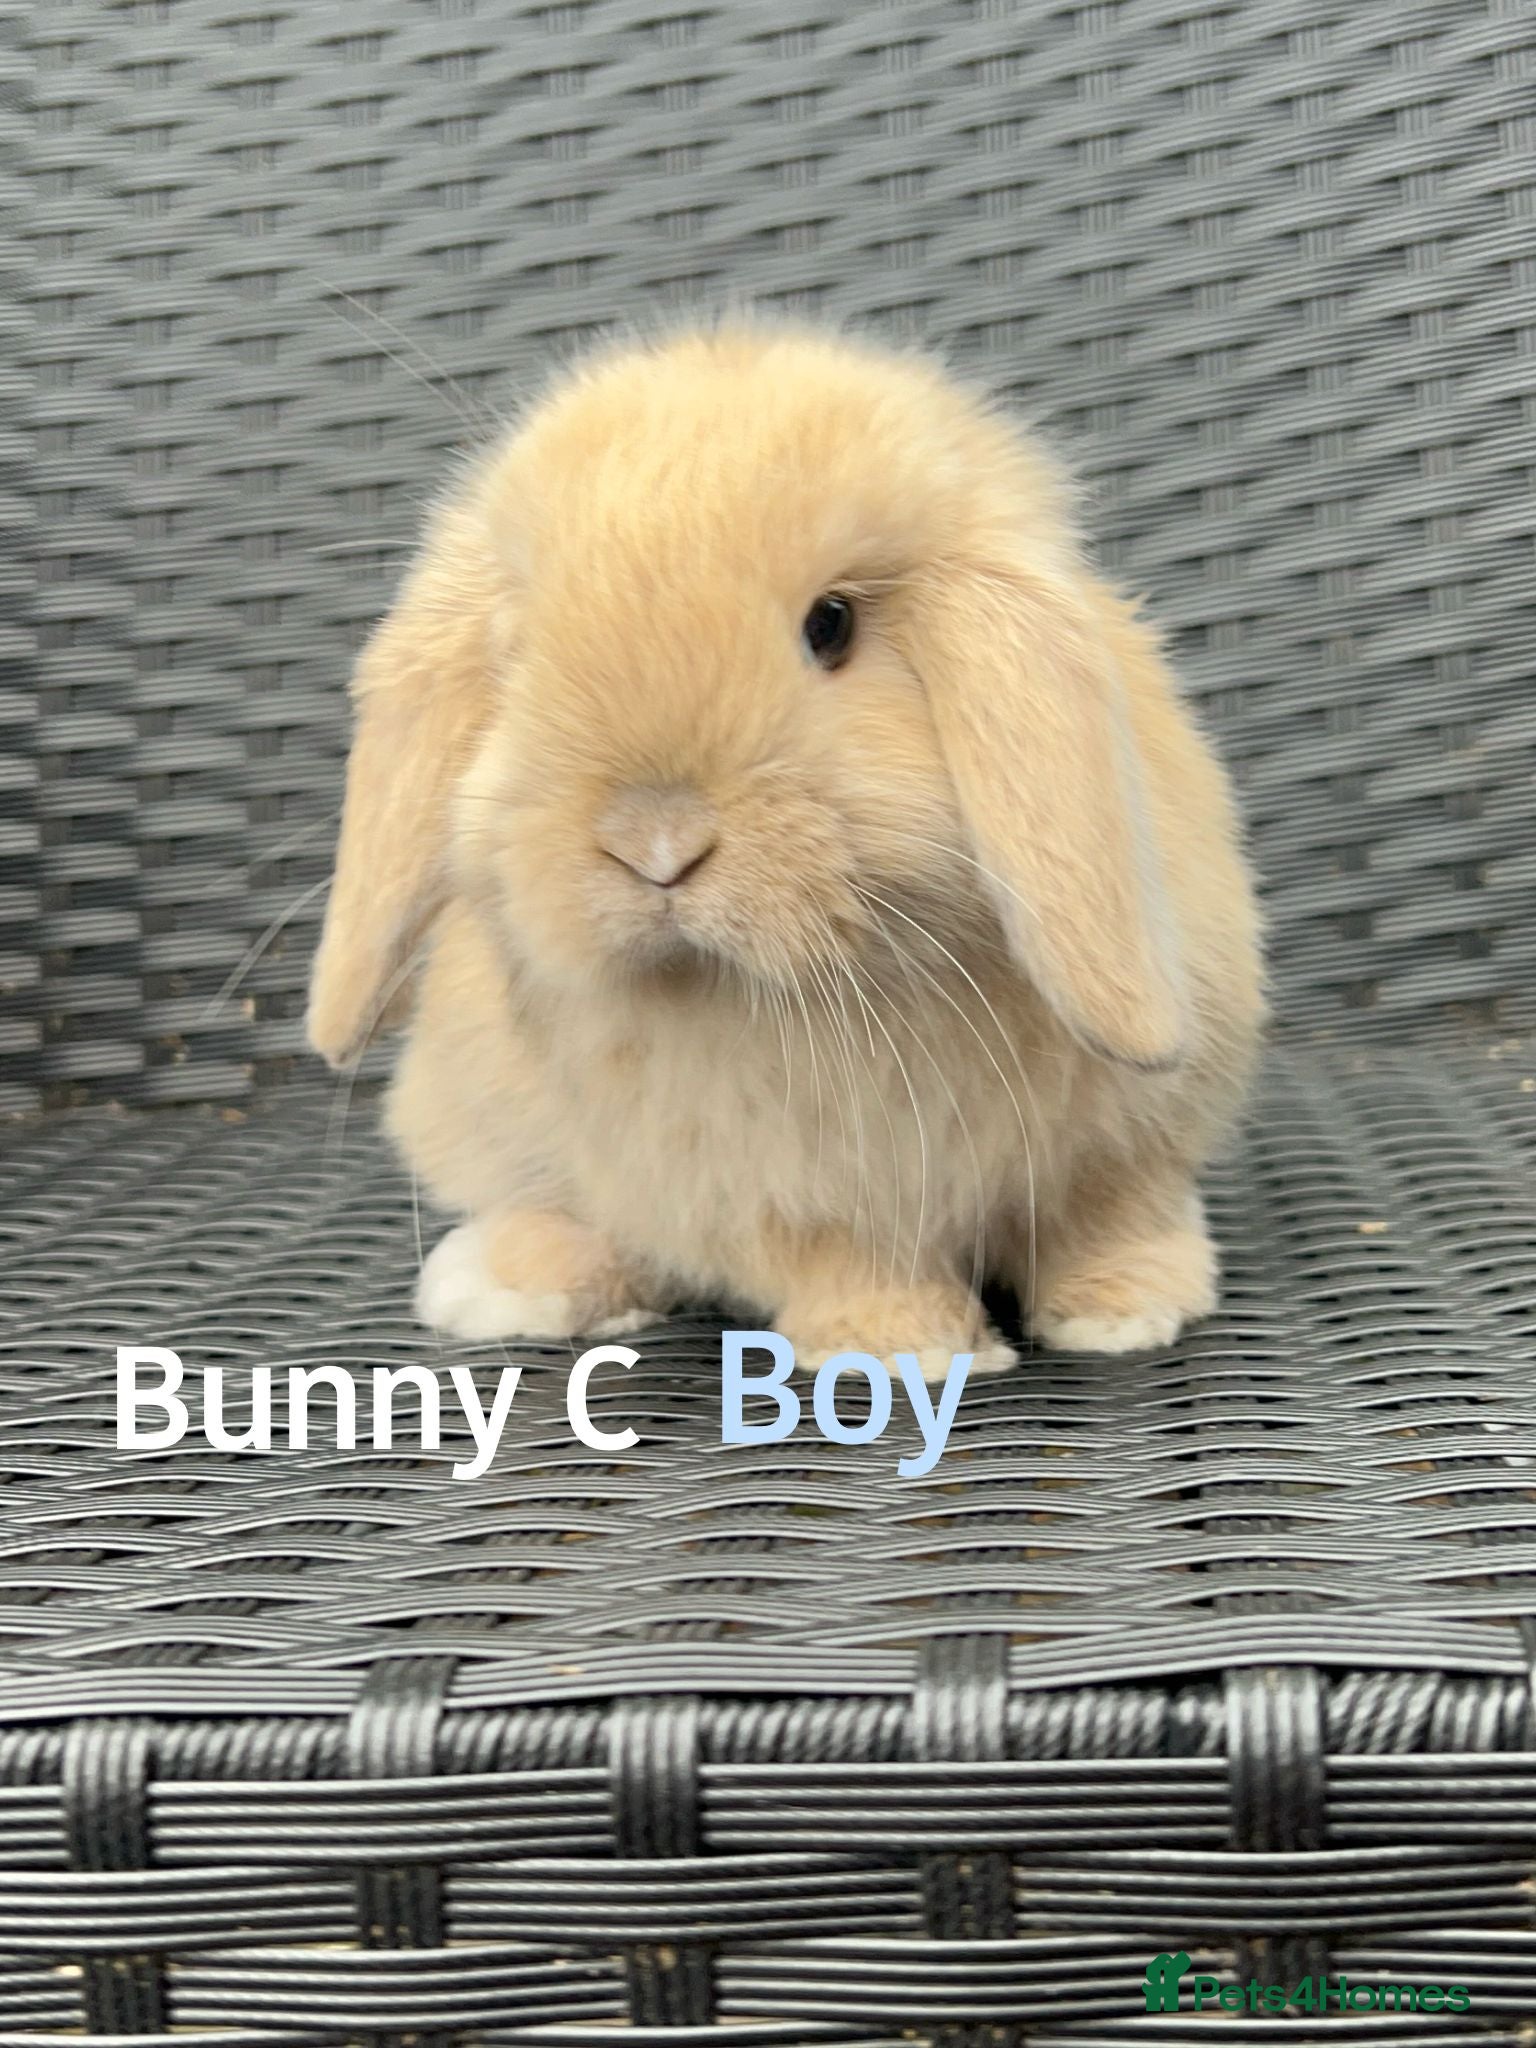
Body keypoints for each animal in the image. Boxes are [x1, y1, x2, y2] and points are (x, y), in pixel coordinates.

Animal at [308, 319, 1265, 1379]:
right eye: (517, 650)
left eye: (831, 624)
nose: (655, 844)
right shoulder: (782, 1190)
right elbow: (849, 1257)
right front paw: (904, 1349)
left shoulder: (1135, 1136)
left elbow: (1111, 1215)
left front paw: (1130, 1309)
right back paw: (510, 1281)